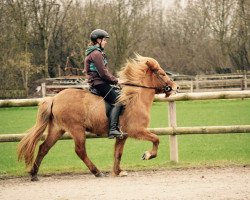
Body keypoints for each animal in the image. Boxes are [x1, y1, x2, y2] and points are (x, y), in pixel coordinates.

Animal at [17, 54, 178, 181]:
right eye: (162, 73)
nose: (176, 87)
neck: (134, 98)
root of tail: (54, 98)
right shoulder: (137, 130)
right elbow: (156, 139)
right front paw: (148, 155)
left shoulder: (123, 135)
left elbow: (118, 153)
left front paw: (118, 171)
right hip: (76, 129)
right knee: (80, 151)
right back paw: (97, 172)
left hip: (57, 129)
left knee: (44, 148)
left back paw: (34, 174)